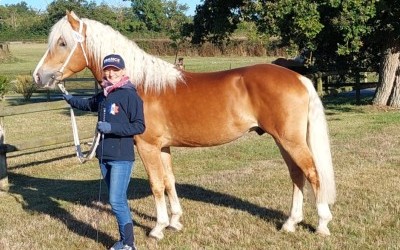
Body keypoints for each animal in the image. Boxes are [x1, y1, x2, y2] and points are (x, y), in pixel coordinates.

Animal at [32, 11, 336, 240]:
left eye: (62, 42)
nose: (39, 76)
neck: (140, 85)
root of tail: (298, 78)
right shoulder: (163, 147)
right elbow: (169, 181)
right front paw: (175, 221)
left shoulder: (147, 146)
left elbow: (156, 185)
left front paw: (157, 228)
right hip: (283, 140)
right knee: (296, 175)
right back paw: (290, 223)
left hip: (290, 140)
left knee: (312, 173)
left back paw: (321, 224)